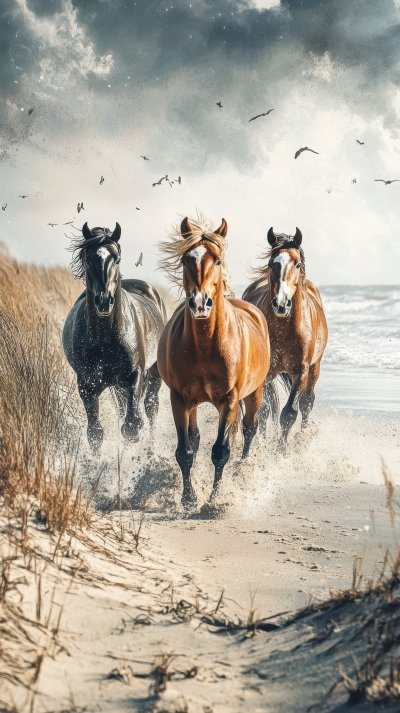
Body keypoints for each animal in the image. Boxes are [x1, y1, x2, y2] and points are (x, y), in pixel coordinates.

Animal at [62, 222, 167, 453]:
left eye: (117, 258)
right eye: (88, 258)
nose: (104, 301)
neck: (106, 339)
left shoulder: (134, 375)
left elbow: (132, 425)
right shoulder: (87, 385)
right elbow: (95, 433)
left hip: (154, 372)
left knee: (151, 407)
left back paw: (151, 447)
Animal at [157, 215, 275, 508]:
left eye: (218, 260)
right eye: (186, 259)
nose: (200, 304)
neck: (205, 344)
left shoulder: (230, 399)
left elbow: (221, 451)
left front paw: (215, 499)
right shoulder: (179, 398)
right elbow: (185, 450)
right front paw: (189, 498)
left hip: (254, 394)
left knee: (249, 429)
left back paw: (242, 470)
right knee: (197, 439)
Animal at [242, 227, 328, 448]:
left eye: (297, 264)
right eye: (272, 263)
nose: (281, 304)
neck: (285, 328)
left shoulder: (300, 371)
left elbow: (289, 413)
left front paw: (281, 450)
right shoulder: (266, 373)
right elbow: (262, 410)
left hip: (314, 368)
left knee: (307, 402)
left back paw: (303, 437)